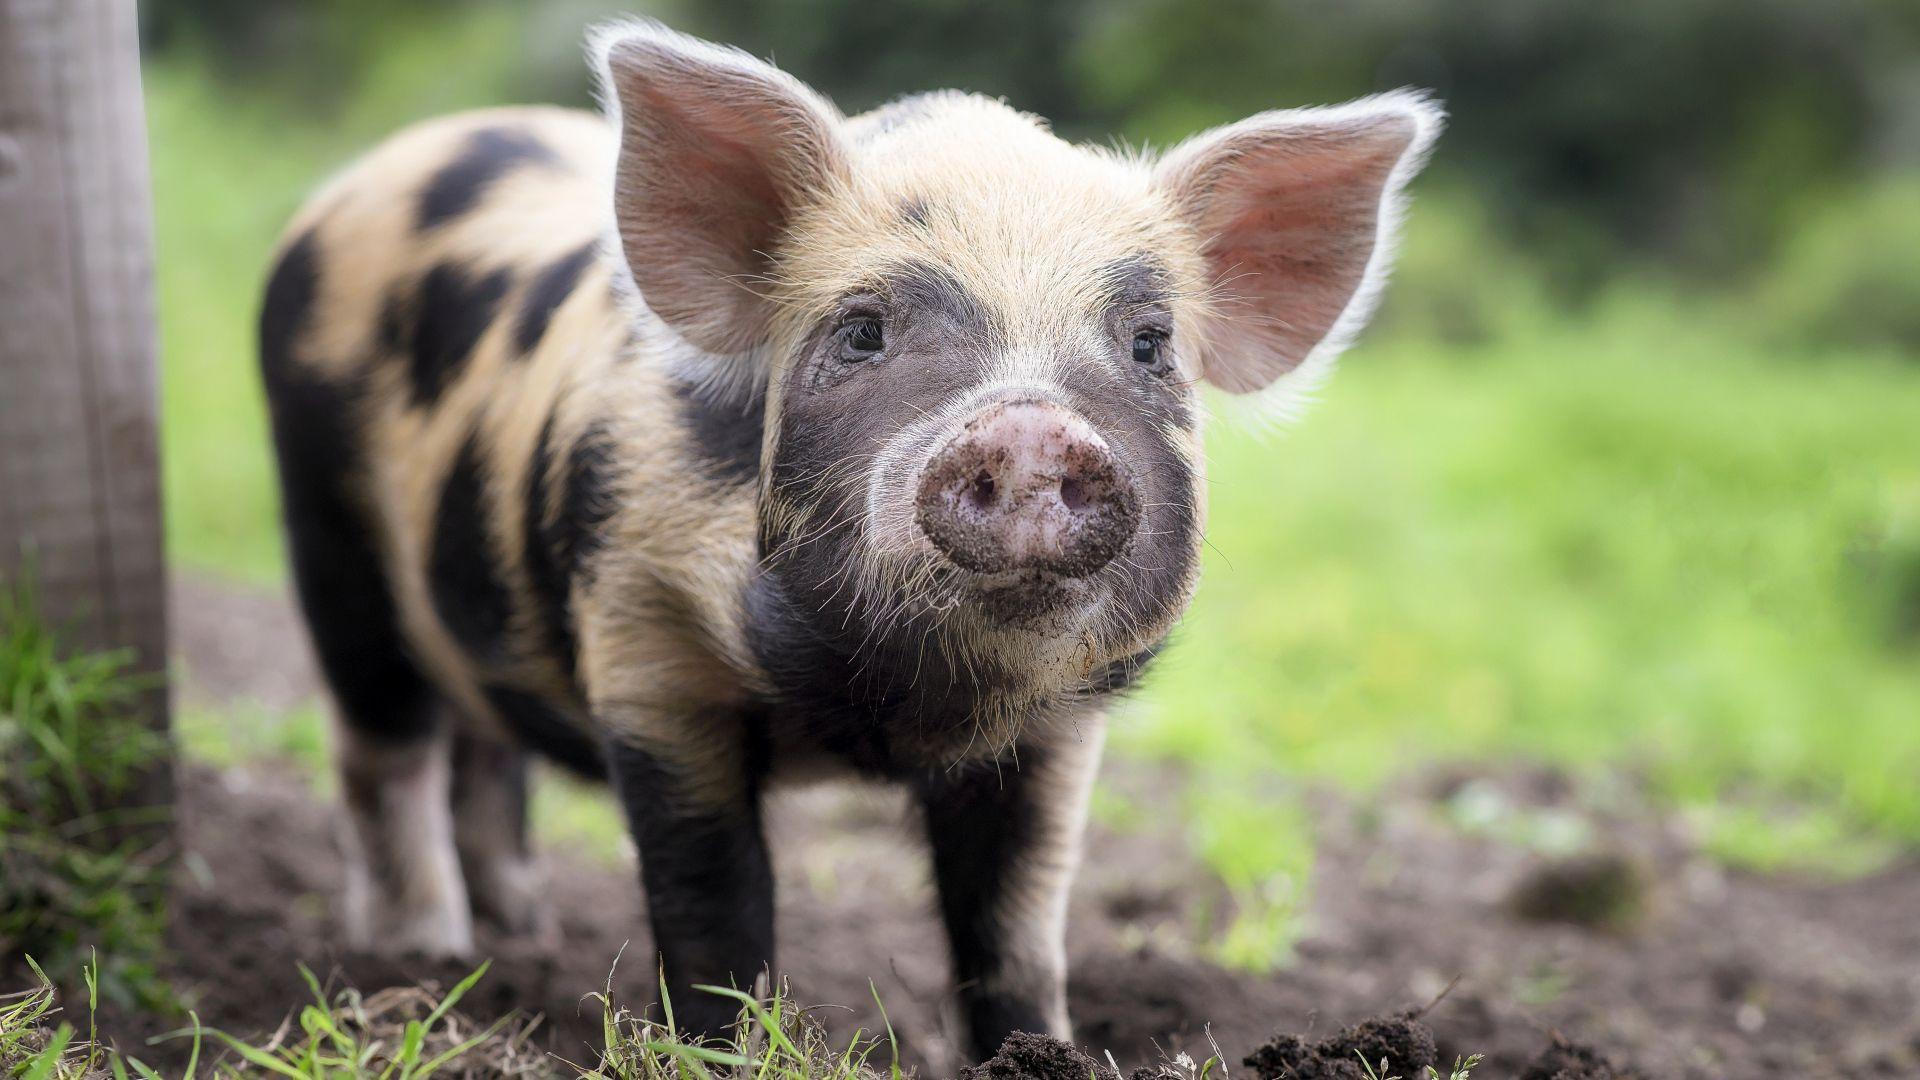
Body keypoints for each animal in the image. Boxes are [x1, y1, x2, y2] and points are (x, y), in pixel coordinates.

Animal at [257, 18, 1440, 1059]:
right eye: (863, 332)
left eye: (1149, 345)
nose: (1028, 424)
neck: (884, 709)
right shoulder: (646, 648)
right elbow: (712, 908)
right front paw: (718, 1049)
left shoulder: (1057, 733)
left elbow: (1016, 927)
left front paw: (1038, 1052)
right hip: (328, 535)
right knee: (384, 753)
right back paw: (418, 961)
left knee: (484, 751)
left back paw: (519, 939)